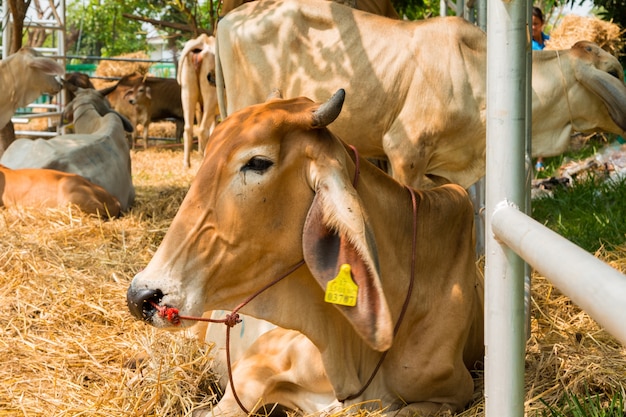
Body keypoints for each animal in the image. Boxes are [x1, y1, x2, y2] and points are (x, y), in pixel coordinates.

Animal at [177, 33, 221, 167]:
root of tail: (203, 40)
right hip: (211, 98)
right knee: (202, 129)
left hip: (187, 93)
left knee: (188, 128)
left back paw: (187, 163)